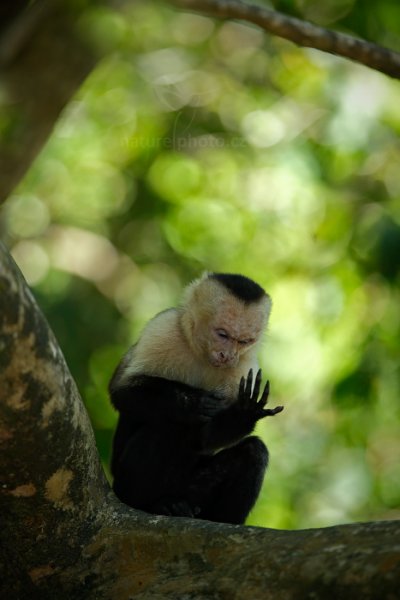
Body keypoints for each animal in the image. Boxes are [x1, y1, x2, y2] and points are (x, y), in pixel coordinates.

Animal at [109, 274, 282, 524]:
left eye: (244, 341)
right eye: (222, 334)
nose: (227, 355)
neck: (202, 355)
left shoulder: (244, 366)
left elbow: (207, 437)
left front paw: (243, 414)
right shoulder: (163, 327)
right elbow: (121, 390)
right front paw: (192, 402)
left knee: (253, 451)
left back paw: (221, 520)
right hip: (123, 482)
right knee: (168, 426)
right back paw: (154, 504)